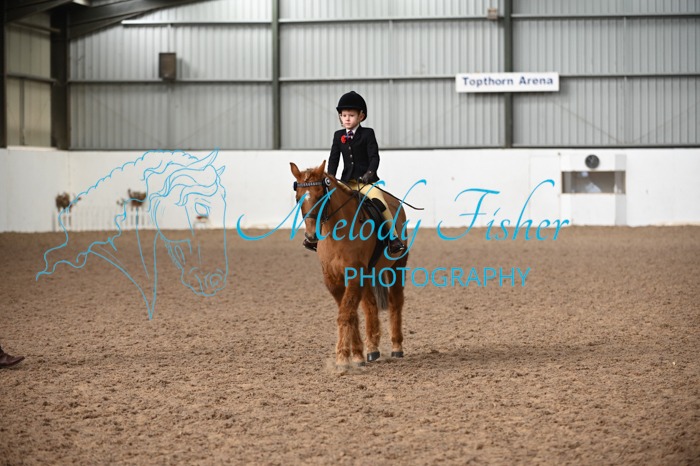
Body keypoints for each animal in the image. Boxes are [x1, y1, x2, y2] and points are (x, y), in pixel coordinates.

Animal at [290, 160, 409, 368]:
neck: (337, 233)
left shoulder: (354, 275)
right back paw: (372, 349)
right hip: (369, 274)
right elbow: (350, 313)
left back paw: (396, 347)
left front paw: (342, 358)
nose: (311, 236)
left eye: (321, 195)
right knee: (370, 305)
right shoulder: (332, 279)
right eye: (298, 199)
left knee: (395, 301)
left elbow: (346, 313)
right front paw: (357, 355)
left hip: (397, 265)